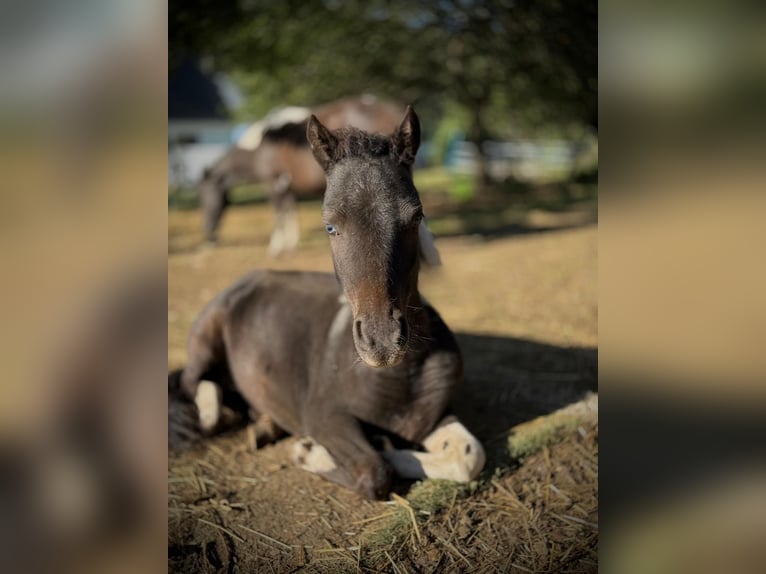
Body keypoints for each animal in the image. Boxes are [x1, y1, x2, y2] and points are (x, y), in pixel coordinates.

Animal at [200, 96, 406, 256]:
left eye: (205, 200)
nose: (209, 236)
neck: (260, 147)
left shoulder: (273, 183)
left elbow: (279, 213)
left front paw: (276, 247)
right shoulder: (287, 186)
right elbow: (291, 211)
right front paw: (291, 244)